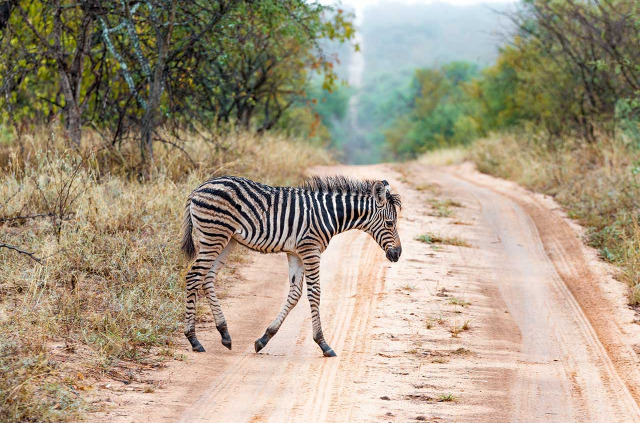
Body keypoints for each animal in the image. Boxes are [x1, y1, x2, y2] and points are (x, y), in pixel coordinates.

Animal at [180, 176, 400, 358]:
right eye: (390, 223)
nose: (398, 254)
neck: (329, 213)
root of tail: (199, 188)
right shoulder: (310, 249)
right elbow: (314, 293)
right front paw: (323, 344)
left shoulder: (296, 253)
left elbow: (295, 294)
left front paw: (264, 339)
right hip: (214, 236)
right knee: (194, 276)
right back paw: (193, 339)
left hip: (227, 240)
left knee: (207, 277)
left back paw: (224, 333)